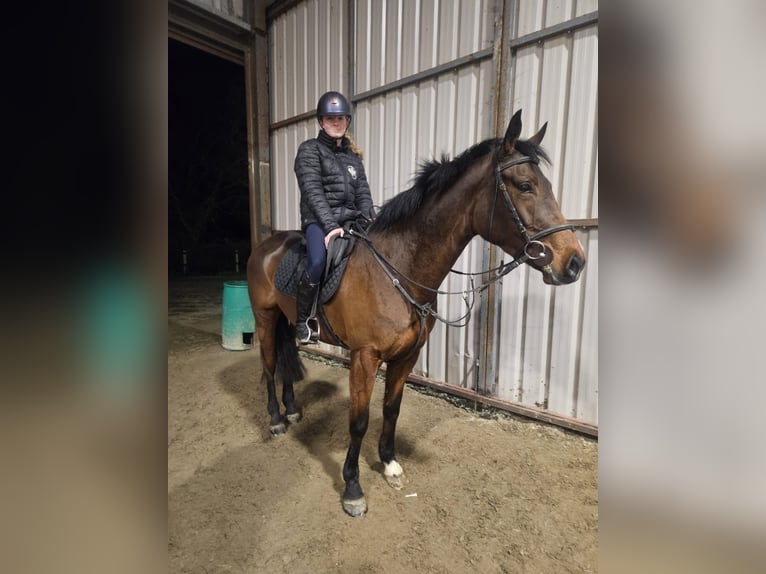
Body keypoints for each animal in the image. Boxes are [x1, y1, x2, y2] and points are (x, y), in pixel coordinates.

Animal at [247, 110, 585, 516]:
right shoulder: (364, 358)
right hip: (265, 318)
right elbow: (358, 421)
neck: (397, 269)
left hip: (286, 320)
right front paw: (352, 489)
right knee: (268, 366)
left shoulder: (408, 355)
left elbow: (392, 409)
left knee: (286, 359)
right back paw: (276, 420)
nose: (574, 262)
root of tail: (267, 244)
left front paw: (390, 464)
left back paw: (293, 410)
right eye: (524, 186)